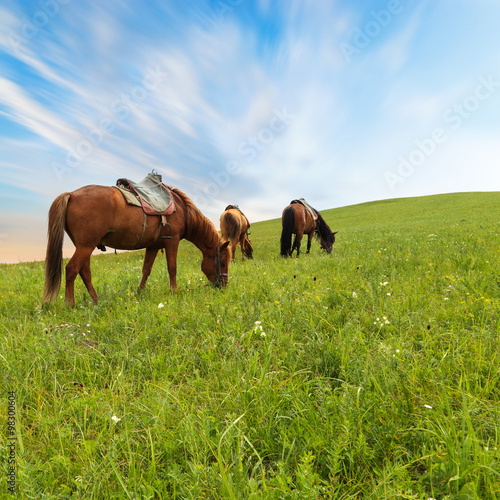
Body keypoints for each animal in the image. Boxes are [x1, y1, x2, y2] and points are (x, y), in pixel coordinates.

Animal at [42, 186, 230, 306]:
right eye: (222, 262)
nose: (223, 285)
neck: (182, 211)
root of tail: (71, 194)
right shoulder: (172, 242)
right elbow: (172, 268)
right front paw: (174, 292)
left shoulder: (153, 246)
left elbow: (146, 269)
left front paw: (140, 292)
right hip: (86, 245)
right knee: (72, 269)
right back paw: (70, 304)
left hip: (84, 246)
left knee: (84, 271)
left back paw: (96, 300)